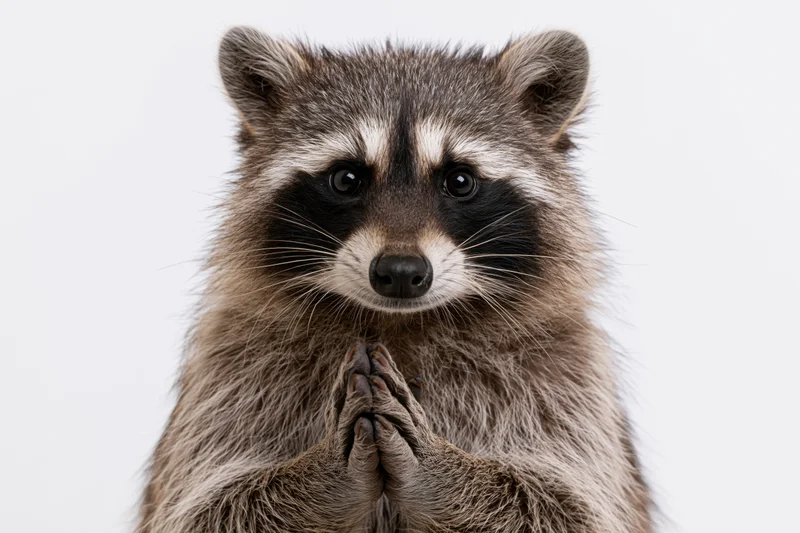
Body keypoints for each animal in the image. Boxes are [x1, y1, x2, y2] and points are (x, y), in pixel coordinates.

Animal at [137, 26, 653, 533]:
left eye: (460, 181)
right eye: (346, 179)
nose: (402, 273)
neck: (397, 322)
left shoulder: (567, 373)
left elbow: (574, 509)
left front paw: (440, 470)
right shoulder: (229, 366)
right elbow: (204, 509)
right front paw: (326, 470)